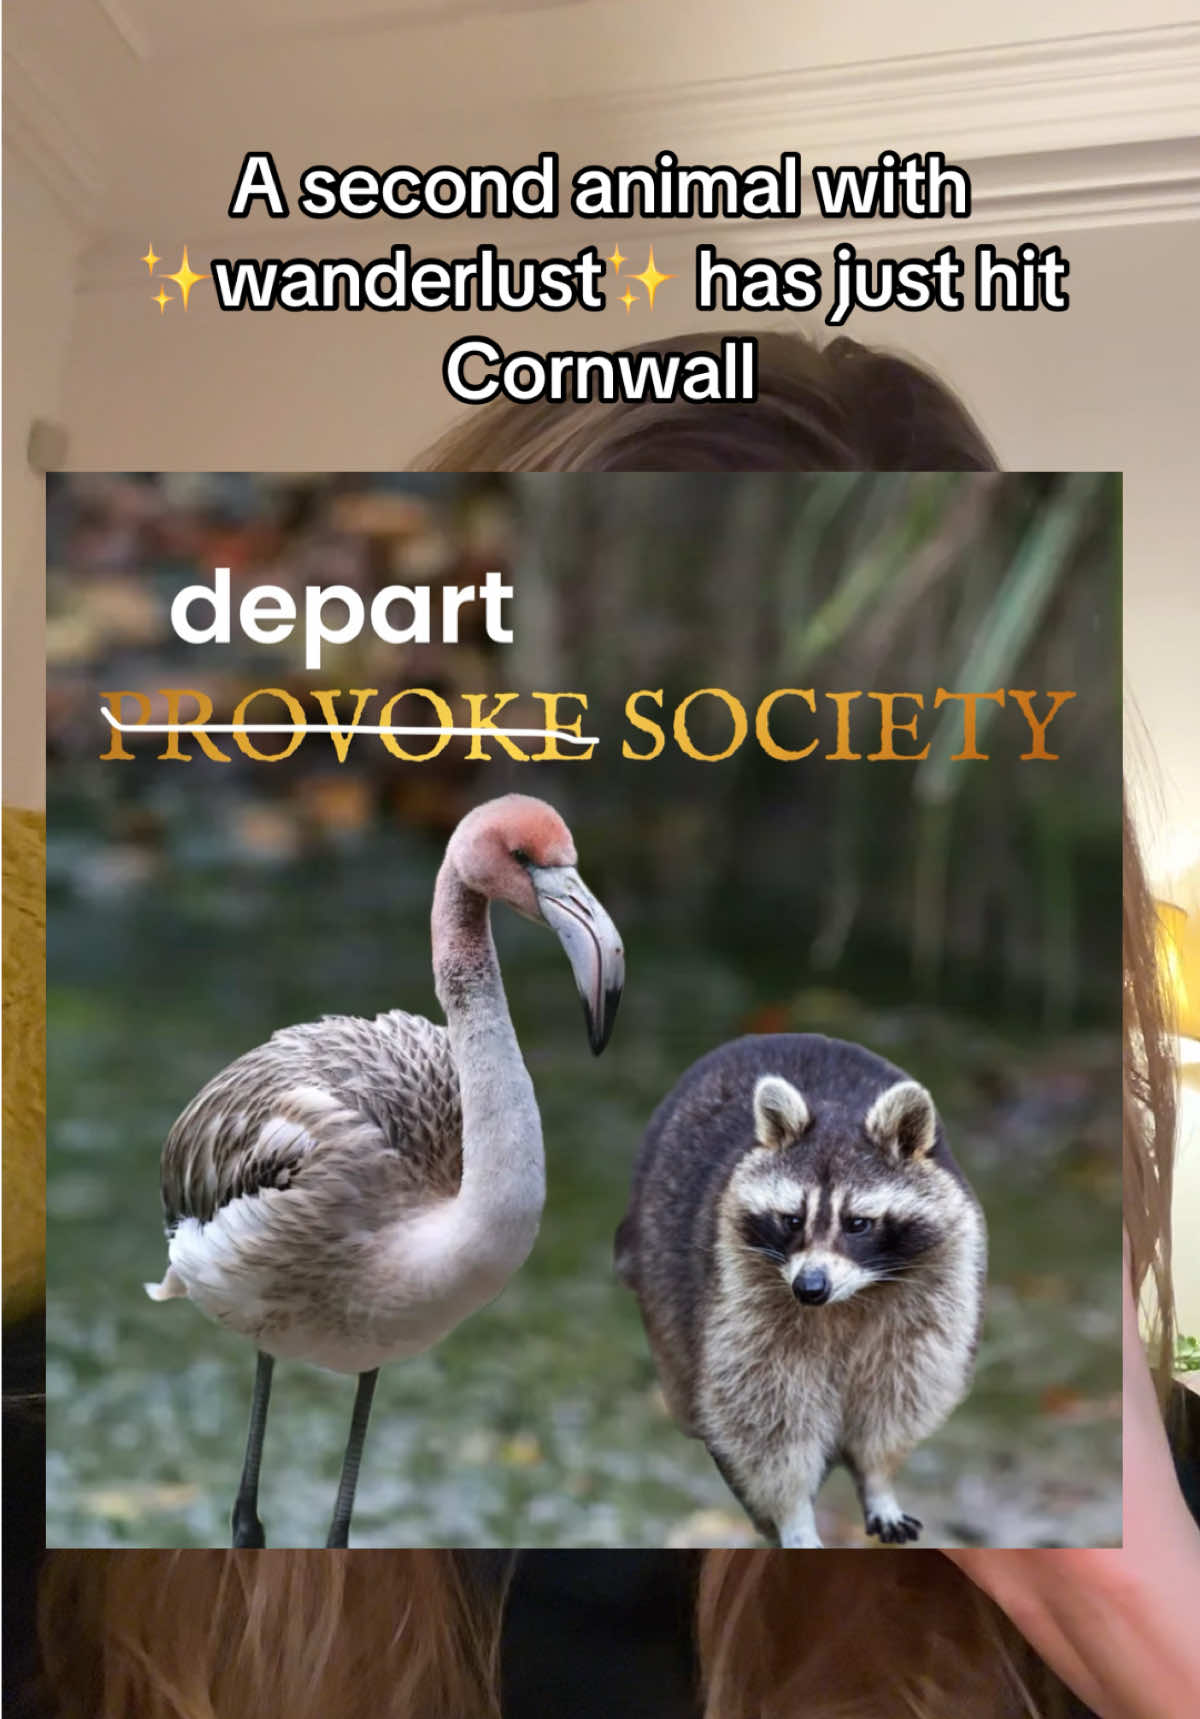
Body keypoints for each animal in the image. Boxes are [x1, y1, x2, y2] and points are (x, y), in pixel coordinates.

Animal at [615, 1034, 986, 1548]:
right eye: (792, 1220)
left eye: (857, 1224)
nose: (809, 1287)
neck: (849, 1299)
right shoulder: (744, 1301)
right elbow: (769, 1419)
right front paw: (793, 1515)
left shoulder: (936, 1290)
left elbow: (896, 1397)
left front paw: (879, 1480)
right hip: (663, 1261)